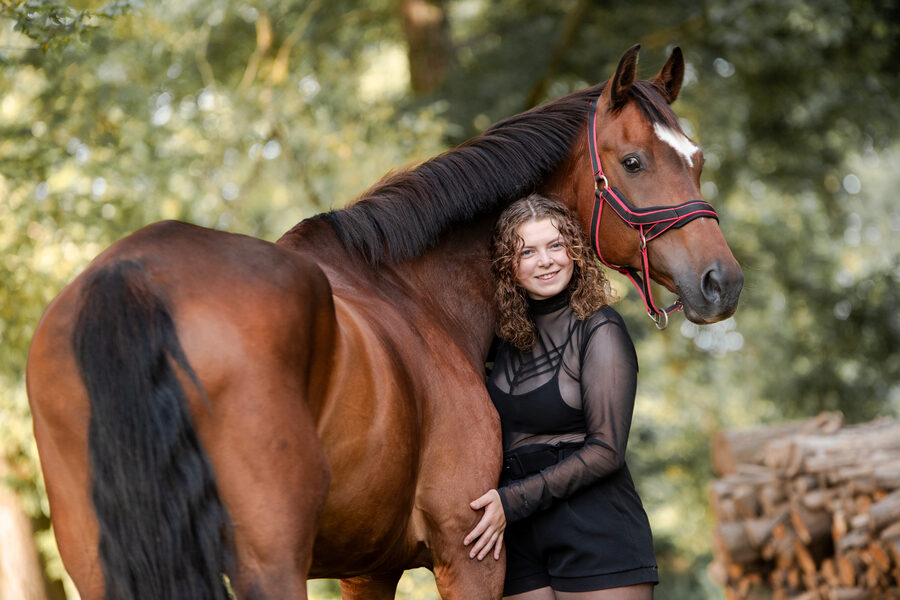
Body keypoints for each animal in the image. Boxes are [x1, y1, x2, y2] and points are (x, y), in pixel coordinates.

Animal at [25, 44, 742, 600]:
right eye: (633, 162)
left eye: (698, 159)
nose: (722, 282)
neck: (416, 295)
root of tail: (135, 273)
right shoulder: (468, 553)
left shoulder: (365, 569)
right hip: (269, 565)